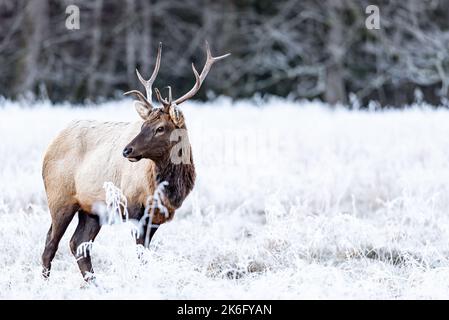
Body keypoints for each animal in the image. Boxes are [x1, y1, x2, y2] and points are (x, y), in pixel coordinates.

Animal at [40, 42, 229, 280]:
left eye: (160, 128)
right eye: (143, 125)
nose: (127, 150)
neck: (164, 188)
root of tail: (49, 147)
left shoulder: (156, 218)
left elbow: (146, 253)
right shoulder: (134, 209)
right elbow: (141, 254)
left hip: (91, 210)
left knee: (78, 244)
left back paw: (95, 283)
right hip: (59, 198)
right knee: (50, 244)